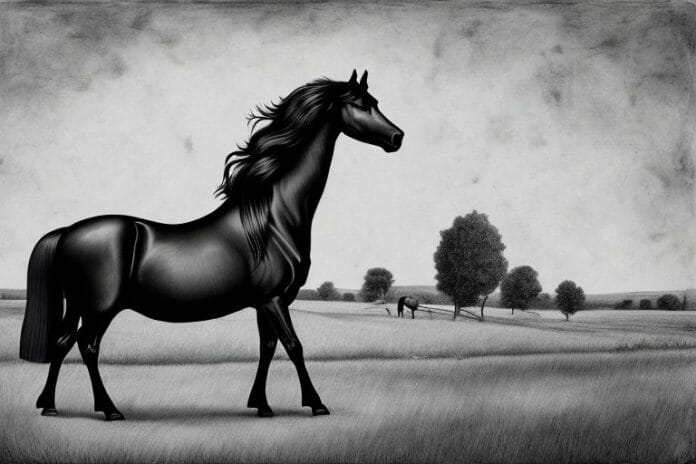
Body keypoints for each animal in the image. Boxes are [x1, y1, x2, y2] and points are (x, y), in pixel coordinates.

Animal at [19, 70, 404, 421]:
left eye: (376, 102)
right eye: (361, 105)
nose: (397, 137)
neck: (273, 219)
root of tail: (69, 231)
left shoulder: (268, 301)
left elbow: (267, 347)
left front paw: (261, 405)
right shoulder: (274, 298)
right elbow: (294, 346)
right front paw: (316, 403)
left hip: (79, 306)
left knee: (63, 343)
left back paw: (49, 405)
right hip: (100, 308)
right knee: (88, 346)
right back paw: (109, 409)